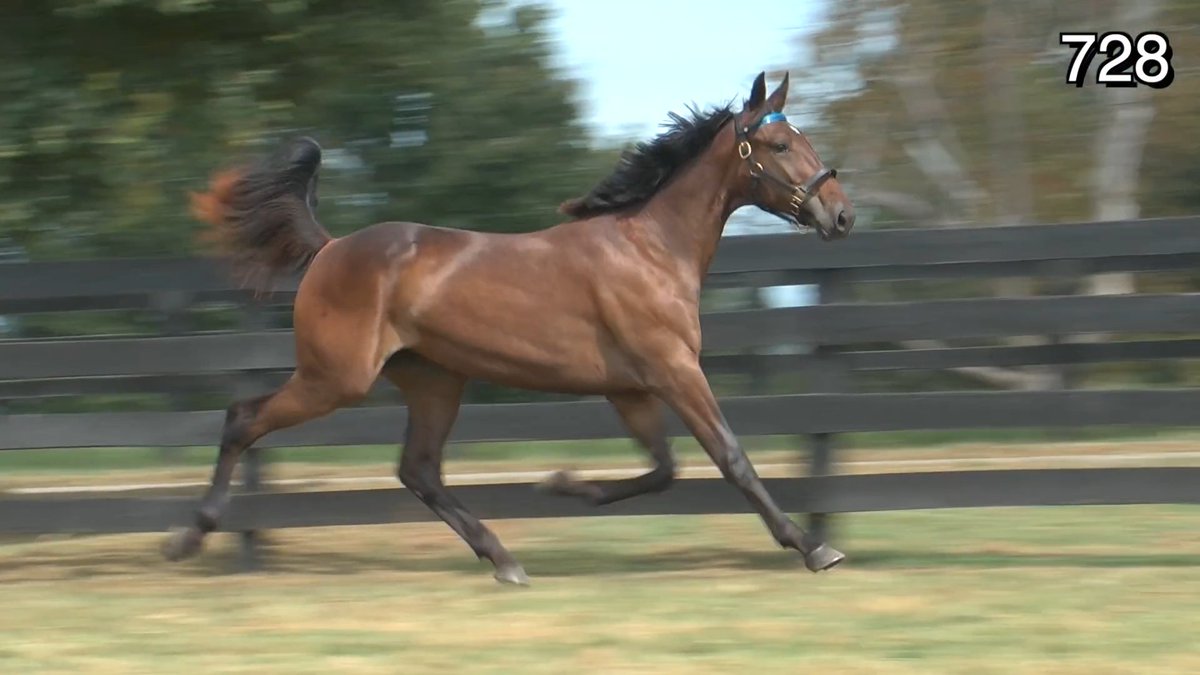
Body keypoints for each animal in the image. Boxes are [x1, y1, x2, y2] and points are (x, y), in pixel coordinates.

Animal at [165, 71, 855, 585]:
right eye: (780, 145)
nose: (841, 215)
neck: (651, 249)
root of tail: (331, 248)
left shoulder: (631, 389)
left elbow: (664, 470)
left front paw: (565, 485)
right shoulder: (674, 370)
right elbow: (730, 457)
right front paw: (812, 547)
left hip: (434, 382)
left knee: (418, 471)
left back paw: (503, 559)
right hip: (335, 378)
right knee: (243, 420)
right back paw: (189, 538)